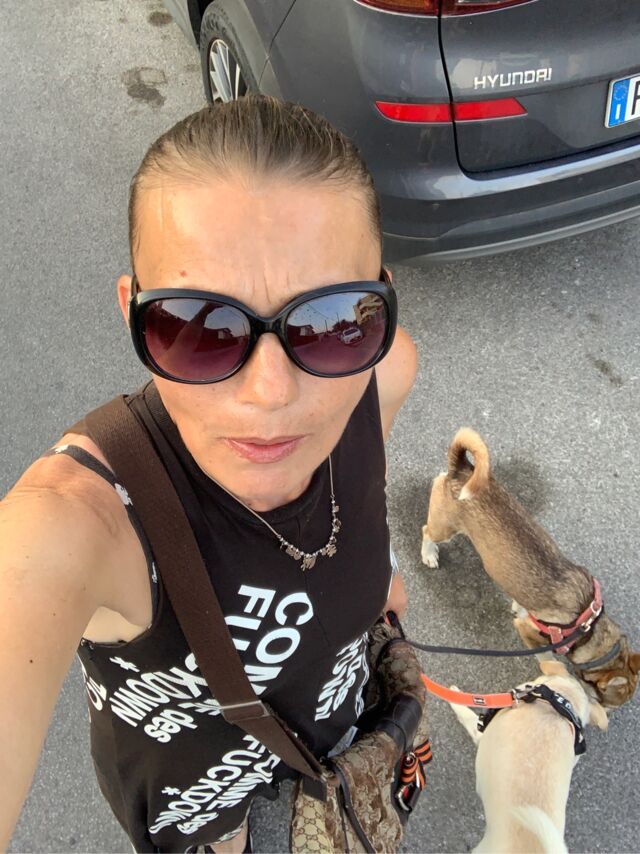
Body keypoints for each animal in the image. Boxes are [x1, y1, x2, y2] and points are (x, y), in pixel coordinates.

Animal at [421, 428, 640, 707]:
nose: (607, 713)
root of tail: (462, 469)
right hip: (444, 528)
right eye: (607, 703)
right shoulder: (529, 633)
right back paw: (428, 554)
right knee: (426, 531)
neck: (588, 629)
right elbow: (547, 657)